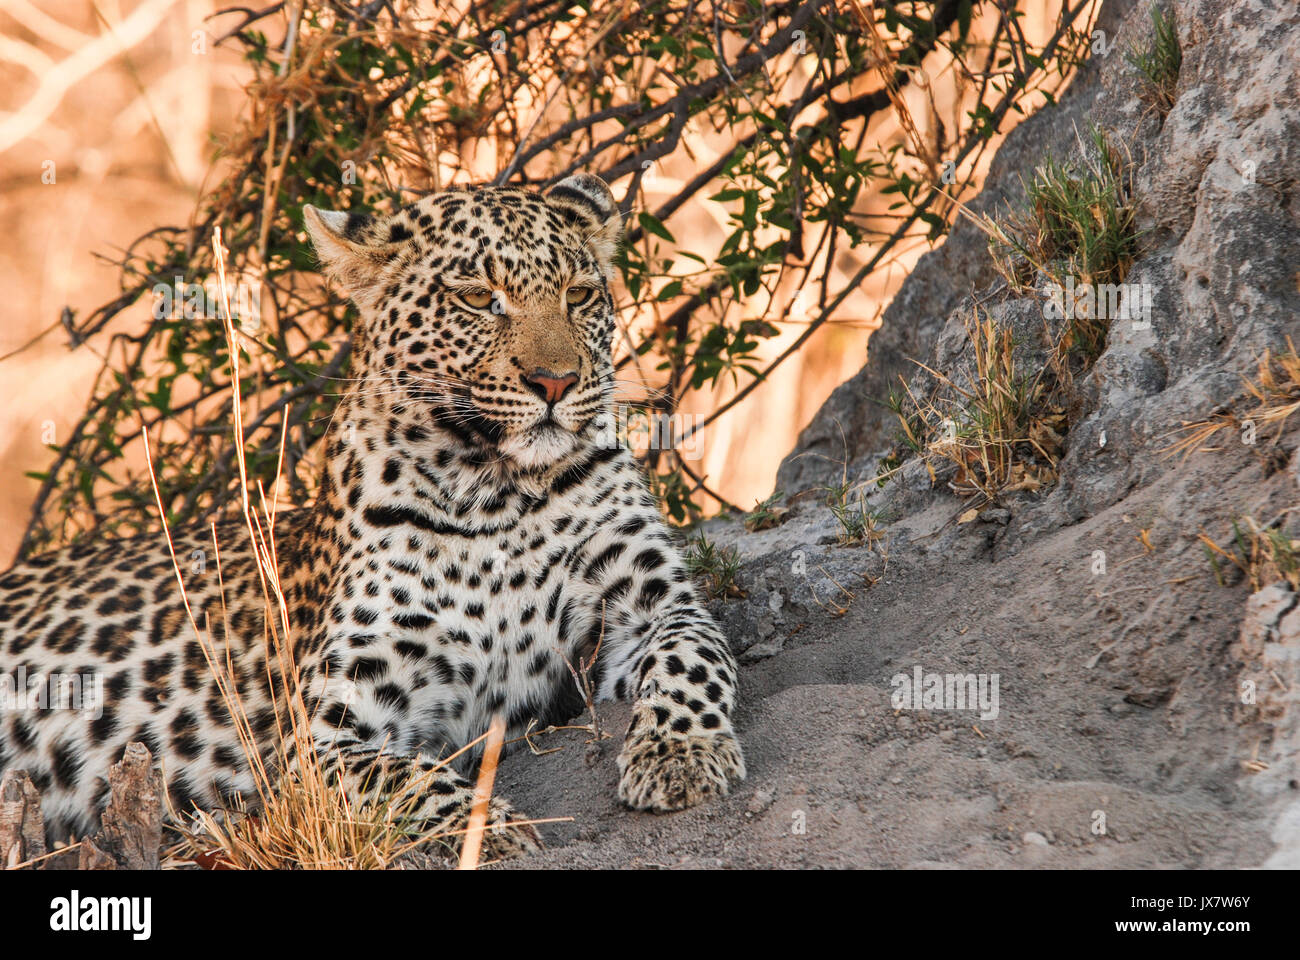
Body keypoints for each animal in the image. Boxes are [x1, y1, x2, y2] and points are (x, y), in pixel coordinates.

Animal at [0, 174, 743, 858]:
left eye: (579, 295)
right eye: (479, 299)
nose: (556, 382)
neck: (497, 490)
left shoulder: (651, 605)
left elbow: (695, 657)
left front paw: (681, 755)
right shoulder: (325, 734)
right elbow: (404, 781)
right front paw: (497, 832)